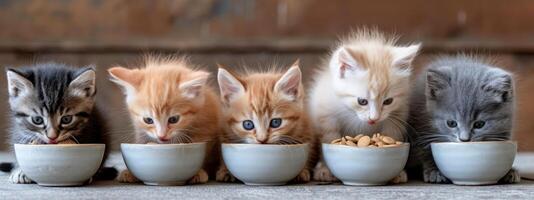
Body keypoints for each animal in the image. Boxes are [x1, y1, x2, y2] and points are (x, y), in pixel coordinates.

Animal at [109, 55, 222, 184]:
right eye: (148, 120)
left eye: (173, 119)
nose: (161, 136)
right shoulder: (141, 131)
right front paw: (130, 173)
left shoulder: (206, 128)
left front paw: (198, 172)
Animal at [310, 28, 422, 182]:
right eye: (362, 101)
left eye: (388, 101)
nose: (374, 118)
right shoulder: (325, 113)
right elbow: (329, 138)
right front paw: (325, 169)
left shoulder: (398, 113)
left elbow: (390, 135)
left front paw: (396, 173)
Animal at [408, 54, 520, 183]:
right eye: (451, 123)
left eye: (479, 124)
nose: (464, 139)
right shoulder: (420, 128)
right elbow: (425, 150)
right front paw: (434, 171)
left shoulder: (505, 126)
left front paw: (509, 172)